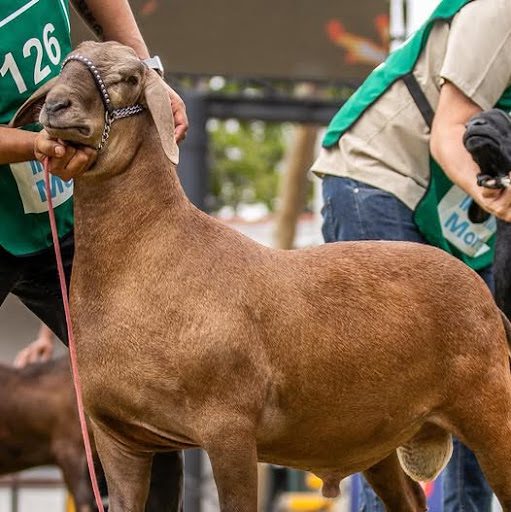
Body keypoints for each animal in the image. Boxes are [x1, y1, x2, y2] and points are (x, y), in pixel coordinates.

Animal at [11, 40, 511, 511]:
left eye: (130, 77)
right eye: (64, 65)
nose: (57, 106)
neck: (147, 252)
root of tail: (487, 301)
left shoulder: (229, 428)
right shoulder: (119, 438)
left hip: (490, 406)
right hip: (380, 436)